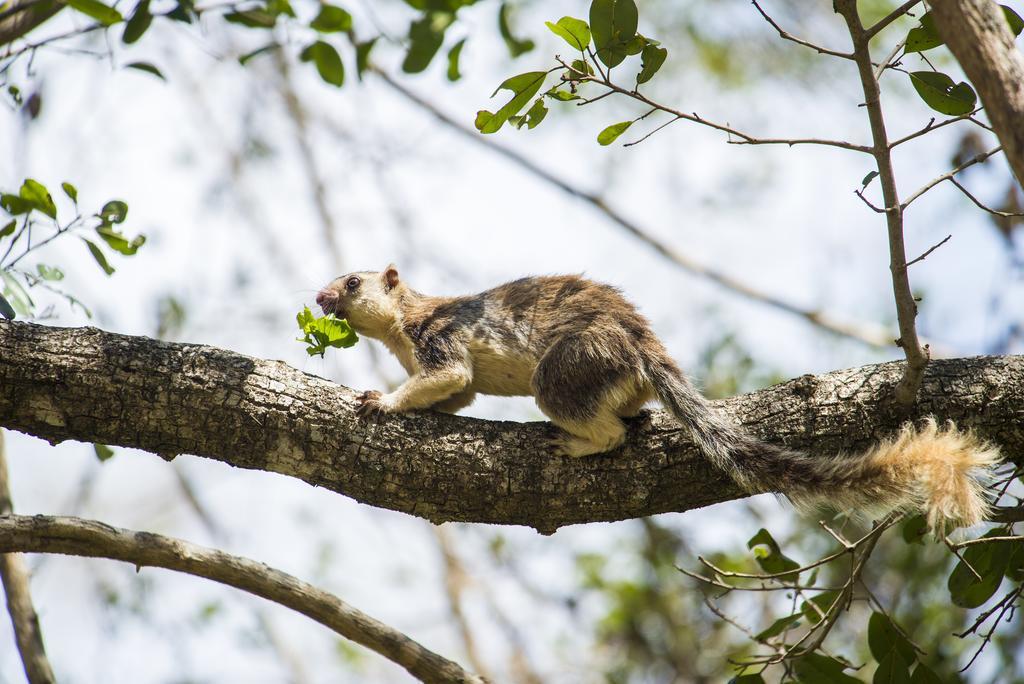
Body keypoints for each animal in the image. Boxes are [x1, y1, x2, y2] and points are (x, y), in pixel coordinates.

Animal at [317, 264, 999, 532]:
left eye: (352, 281)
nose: (320, 298)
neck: (403, 329)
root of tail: (643, 348)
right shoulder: (445, 373)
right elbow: (452, 399)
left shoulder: (441, 343)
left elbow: (446, 379)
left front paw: (382, 402)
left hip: (564, 372)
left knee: (609, 432)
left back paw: (574, 443)